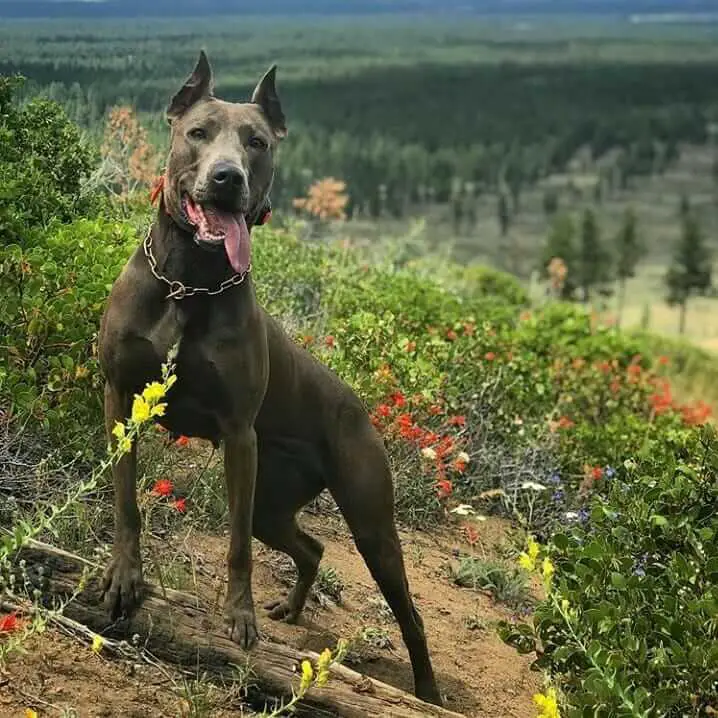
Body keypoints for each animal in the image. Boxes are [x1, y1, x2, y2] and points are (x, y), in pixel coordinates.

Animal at [97, 52, 442, 708]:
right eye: (198, 132)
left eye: (256, 142)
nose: (227, 177)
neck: (189, 283)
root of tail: (360, 407)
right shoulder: (121, 399)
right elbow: (126, 502)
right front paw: (125, 578)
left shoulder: (238, 435)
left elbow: (235, 547)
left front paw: (240, 616)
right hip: (273, 502)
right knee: (312, 546)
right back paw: (293, 607)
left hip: (369, 523)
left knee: (409, 611)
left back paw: (428, 692)